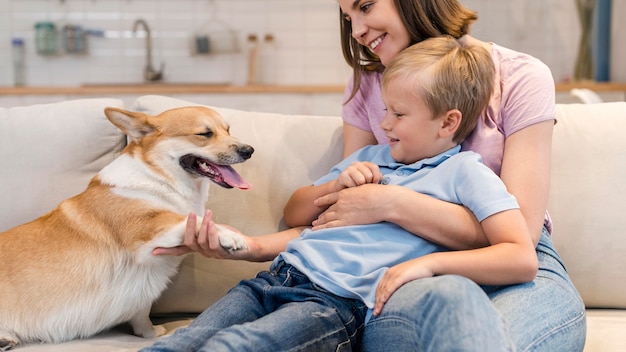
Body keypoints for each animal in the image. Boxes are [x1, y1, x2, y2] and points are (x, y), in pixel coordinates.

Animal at [1, 105, 254, 350]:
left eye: (228, 130)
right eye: (204, 134)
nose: (249, 150)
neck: (159, 178)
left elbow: (141, 314)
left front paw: (150, 333)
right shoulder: (144, 230)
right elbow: (192, 220)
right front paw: (230, 235)